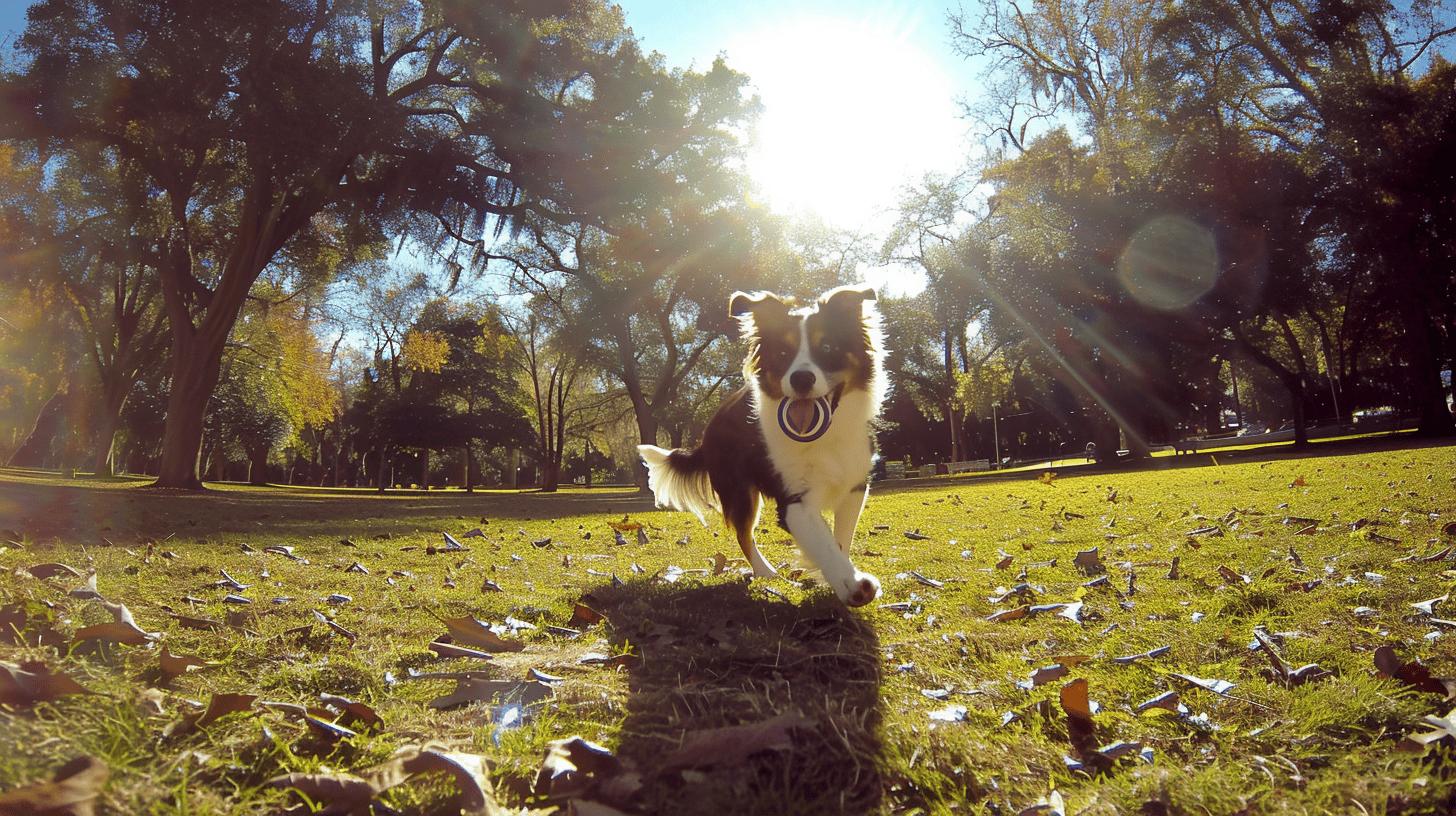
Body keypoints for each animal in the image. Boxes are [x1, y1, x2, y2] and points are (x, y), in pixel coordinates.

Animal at [640, 285, 885, 606]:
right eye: (782, 353)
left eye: (828, 347)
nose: (801, 378)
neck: (824, 437)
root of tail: (708, 432)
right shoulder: (794, 501)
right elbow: (824, 544)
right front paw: (852, 584)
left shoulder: (854, 486)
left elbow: (840, 540)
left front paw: (835, 578)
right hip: (740, 491)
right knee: (744, 535)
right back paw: (765, 572)